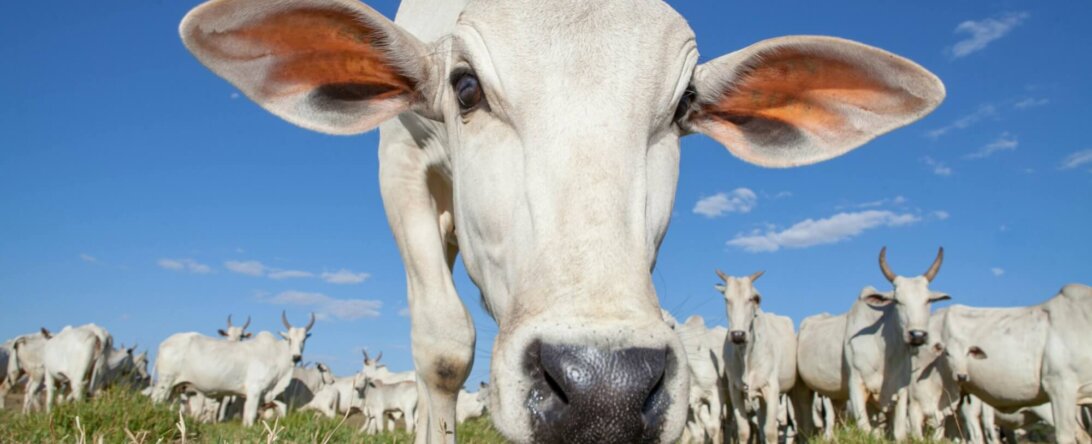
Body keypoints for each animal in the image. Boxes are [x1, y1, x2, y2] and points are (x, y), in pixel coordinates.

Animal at [148, 312, 316, 425]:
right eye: (289, 339)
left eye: (304, 340)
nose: (296, 357)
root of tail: (164, 343)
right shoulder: (254, 391)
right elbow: (250, 417)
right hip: (165, 382)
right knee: (156, 400)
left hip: (174, 388)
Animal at [720, 271, 799, 444]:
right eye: (726, 299)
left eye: (751, 298)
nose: (738, 335)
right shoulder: (735, 389)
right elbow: (744, 431)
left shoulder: (772, 387)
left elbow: (771, 431)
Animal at [843, 248, 947, 440]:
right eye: (897, 300)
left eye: (928, 300)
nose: (917, 335)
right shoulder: (855, 384)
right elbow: (865, 431)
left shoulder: (901, 390)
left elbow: (899, 433)